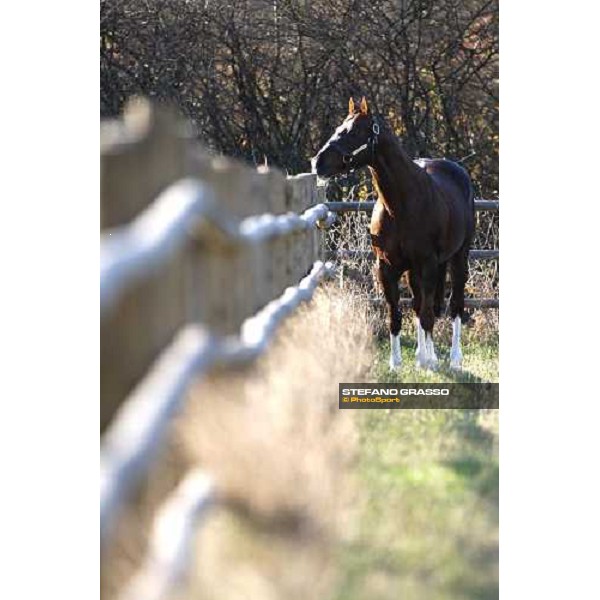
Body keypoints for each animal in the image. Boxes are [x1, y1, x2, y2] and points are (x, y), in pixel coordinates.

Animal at [314, 97, 474, 370]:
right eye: (338, 128)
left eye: (353, 131)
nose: (318, 163)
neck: (402, 205)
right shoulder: (386, 267)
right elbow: (397, 315)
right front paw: (397, 362)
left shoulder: (427, 265)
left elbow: (428, 315)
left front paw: (429, 364)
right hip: (415, 270)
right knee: (420, 305)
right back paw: (423, 355)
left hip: (458, 258)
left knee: (454, 306)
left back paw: (453, 359)